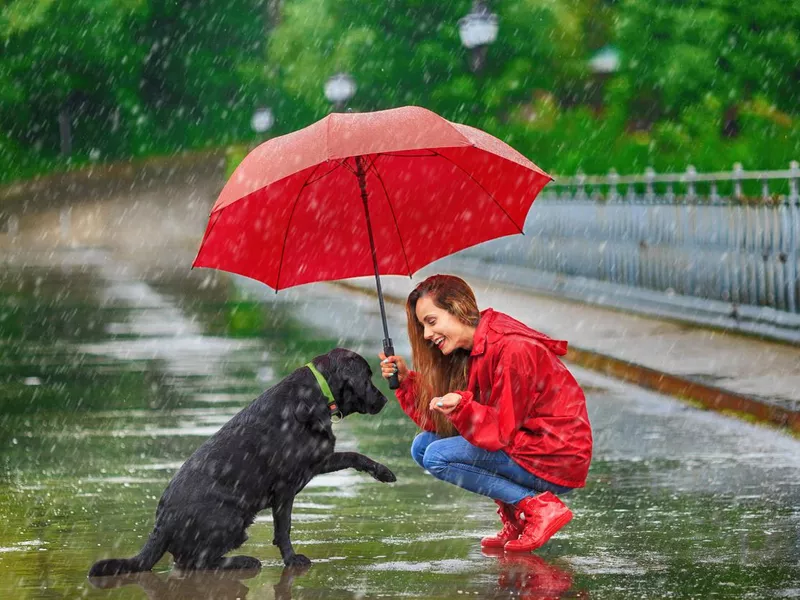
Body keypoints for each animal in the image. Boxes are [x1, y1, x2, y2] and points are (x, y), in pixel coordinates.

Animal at [89, 346, 396, 576]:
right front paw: (291, 559)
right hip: (231, 518)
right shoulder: (285, 488)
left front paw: (383, 472)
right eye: (368, 378)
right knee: (193, 562)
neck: (316, 394)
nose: (384, 399)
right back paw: (242, 561)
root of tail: (160, 526)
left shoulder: (317, 460)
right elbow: (283, 529)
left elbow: (354, 456)